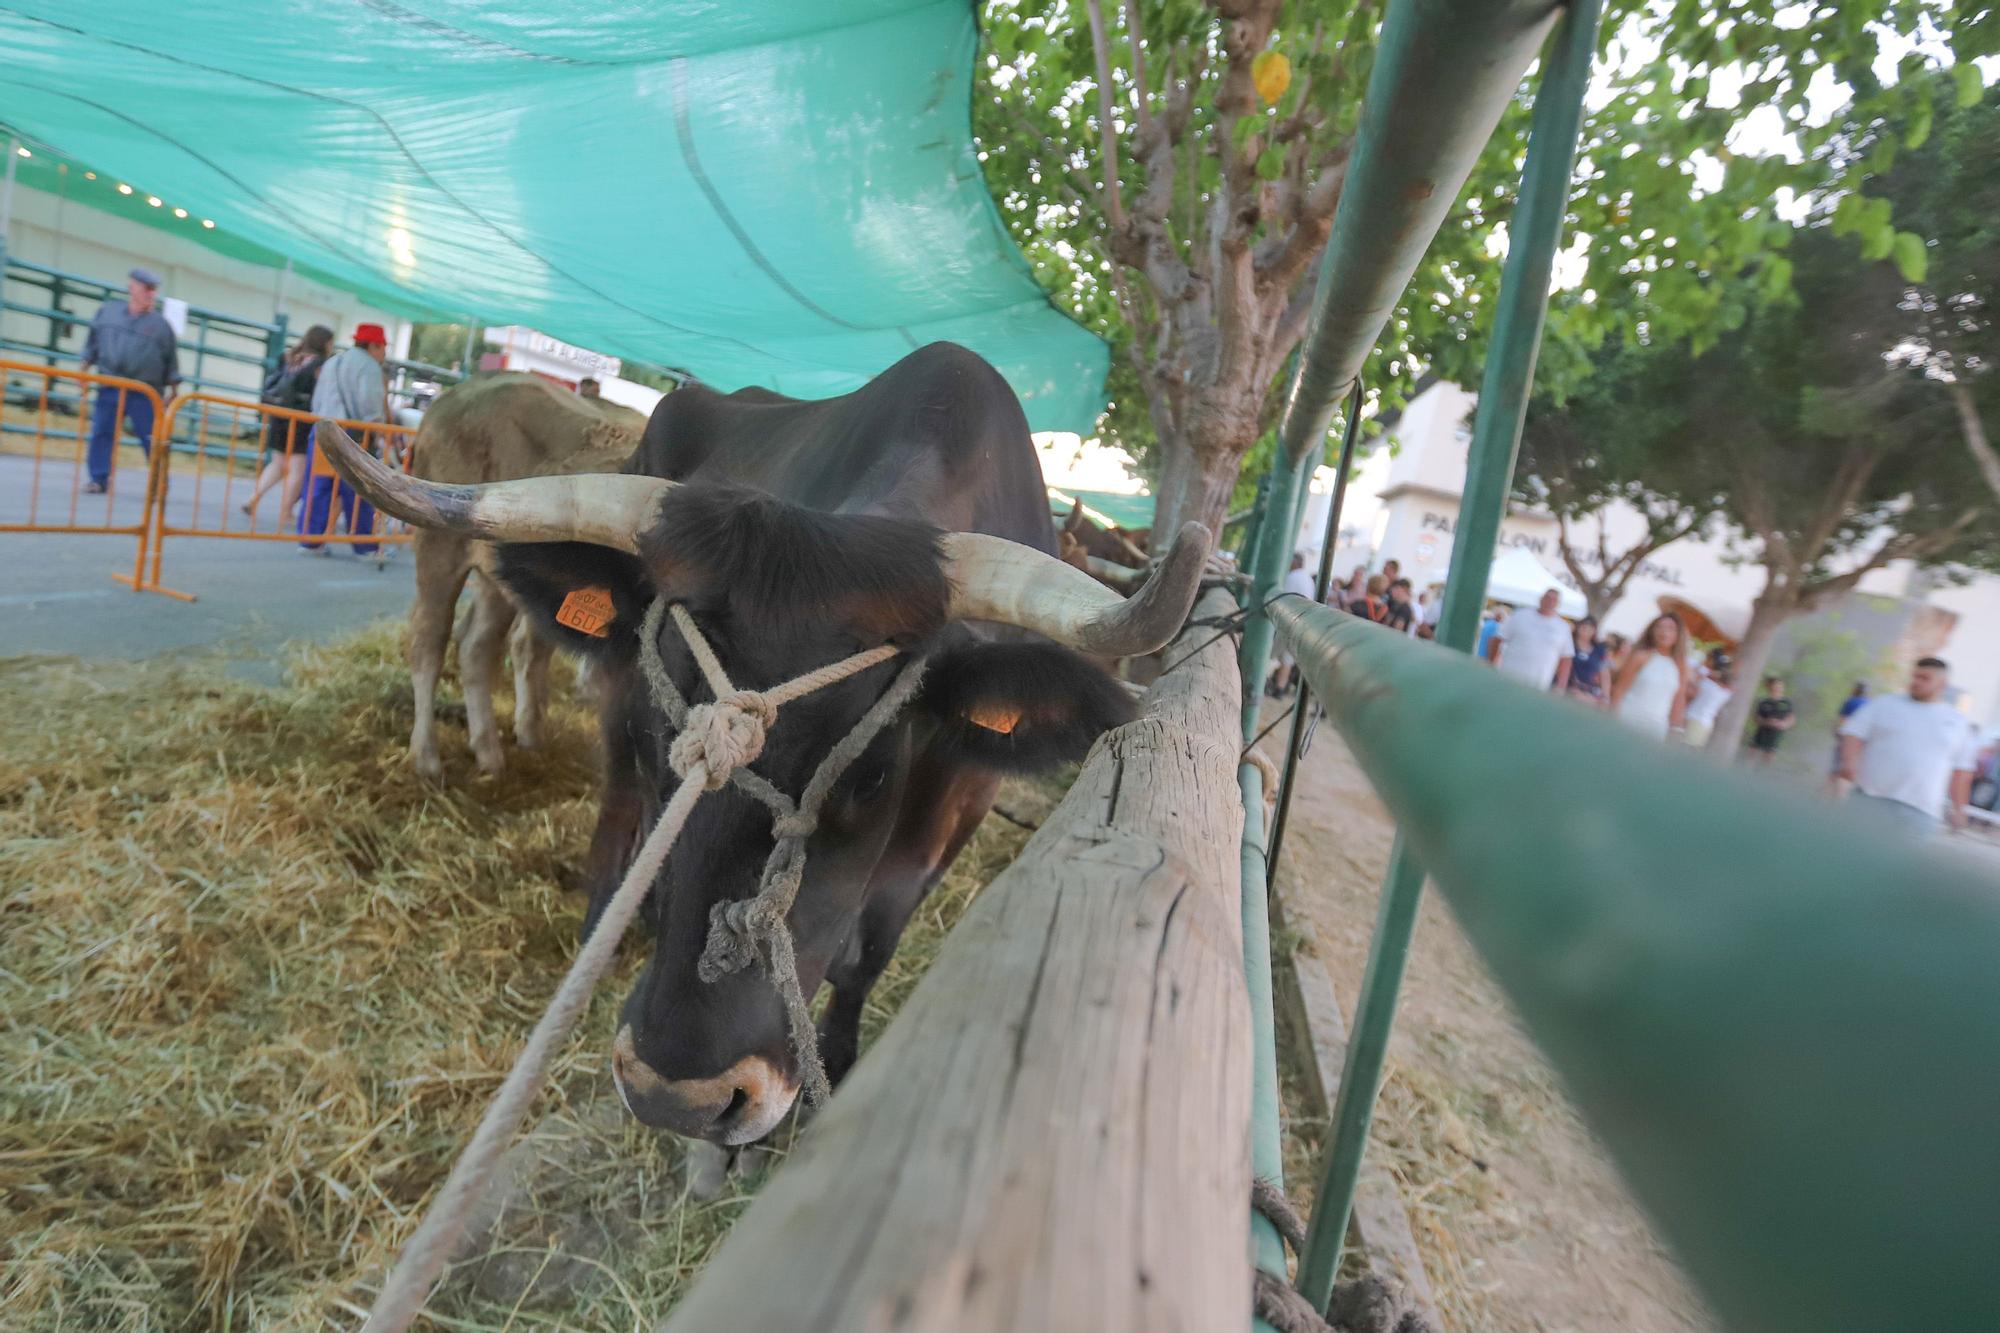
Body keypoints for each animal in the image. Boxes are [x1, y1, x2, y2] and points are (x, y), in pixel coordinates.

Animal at [410, 368, 644, 772]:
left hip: (499, 578)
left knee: (481, 645)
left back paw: (496, 748)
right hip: (439, 548)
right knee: (430, 638)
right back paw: (427, 756)